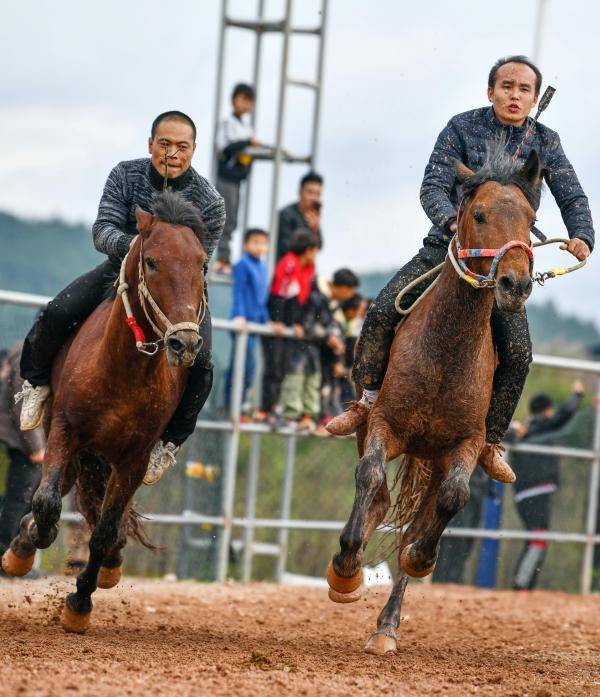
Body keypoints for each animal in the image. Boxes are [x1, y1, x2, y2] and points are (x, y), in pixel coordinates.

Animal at [1, 189, 206, 632]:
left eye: (202, 263)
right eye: (152, 261)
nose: (185, 344)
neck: (123, 370)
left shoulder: (134, 459)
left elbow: (105, 529)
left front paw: (79, 603)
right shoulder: (65, 432)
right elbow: (46, 503)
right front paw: (36, 539)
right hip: (69, 445)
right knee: (54, 493)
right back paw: (22, 548)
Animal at [328, 145, 544, 652]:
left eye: (530, 219)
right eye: (478, 214)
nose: (516, 284)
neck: (447, 349)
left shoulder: (465, 445)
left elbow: (452, 499)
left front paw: (420, 557)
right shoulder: (384, 424)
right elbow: (368, 476)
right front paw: (345, 570)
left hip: (437, 457)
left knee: (417, 519)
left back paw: (387, 626)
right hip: (374, 427)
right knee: (378, 498)